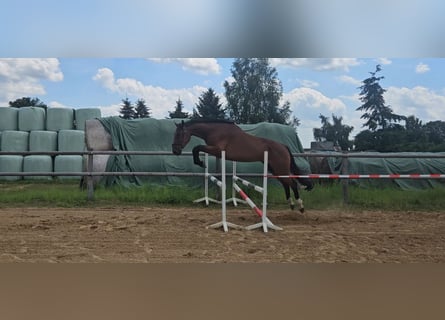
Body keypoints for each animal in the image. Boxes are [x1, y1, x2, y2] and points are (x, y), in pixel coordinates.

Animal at [170, 119, 312, 211]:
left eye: (180, 134)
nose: (175, 151)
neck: (215, 130)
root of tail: (283, 146)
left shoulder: (217, 150)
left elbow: (197, 148)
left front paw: (200, 162)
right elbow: (197, 148)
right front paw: (200, 162)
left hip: (280, 168)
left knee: (292, 183)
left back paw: (300, 206)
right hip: (274, 169)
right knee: (286, 183)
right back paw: (291, 204)